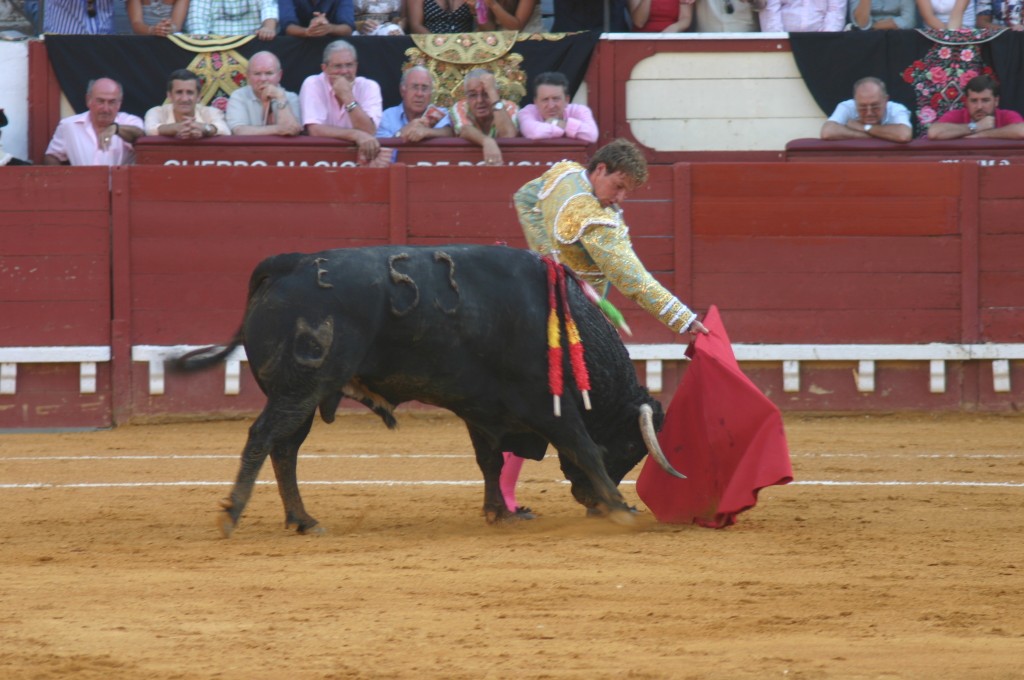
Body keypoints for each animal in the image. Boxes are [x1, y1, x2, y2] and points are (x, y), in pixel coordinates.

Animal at [174, 244, 688, 536]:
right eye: (631, 445)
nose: (590, 503)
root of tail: (286, 265)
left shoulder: (482, 408)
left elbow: (490, 460)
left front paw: (501, 513)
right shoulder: (546, 405)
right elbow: (584, 446)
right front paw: (622, 507)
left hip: (302, 394)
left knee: (285, 449)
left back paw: (304, 520)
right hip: (299, 387)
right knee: (263, 437)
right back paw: (233, 514)